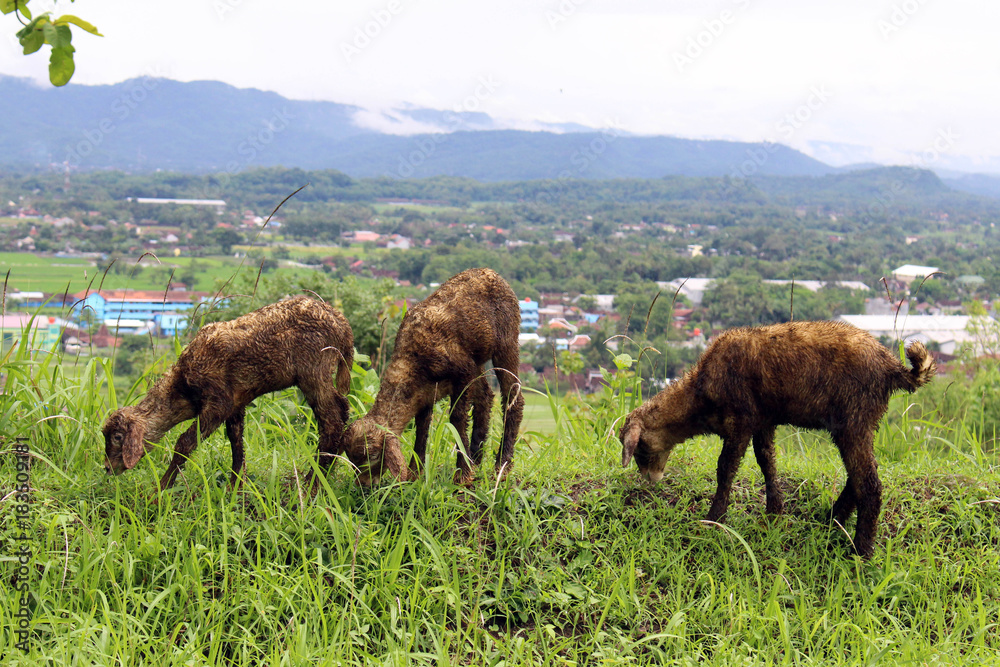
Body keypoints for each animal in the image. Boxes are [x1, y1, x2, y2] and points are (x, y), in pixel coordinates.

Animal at [103, 296, 354, 490]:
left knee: (332, 418)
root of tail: (343, 325)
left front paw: (161, 488)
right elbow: (236, 441)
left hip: (314, 369)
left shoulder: (218, 402)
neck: (181, 389)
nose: (107, 468)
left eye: (118, 437)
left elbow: (184, 443)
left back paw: (314, 482)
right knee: (341, 411)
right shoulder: (236, 403)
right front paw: (235, 486)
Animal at [343, 268, 524, 486]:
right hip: (477, 360)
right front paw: (415, 474)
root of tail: (490, 272)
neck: (409, 360)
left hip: (507, 341)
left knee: (513, 397)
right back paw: (476, 457)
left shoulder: (462, 372)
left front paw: (461, 474)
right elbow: (421, 429)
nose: (362, 485)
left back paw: (502, 464)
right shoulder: (424, 394)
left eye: (372, 457)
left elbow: (457, 419)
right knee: (486, 397)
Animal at [619, 320, 936, 558]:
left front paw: (715, 519)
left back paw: (860, 551)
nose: (650, 479)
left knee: (869, 483)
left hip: (854, 418)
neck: (698, 395)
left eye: (639, 449)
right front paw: (774, 512)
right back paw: (832, 520)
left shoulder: (741, 420)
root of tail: (892, 368)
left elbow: (725, 469)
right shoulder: (763, 420)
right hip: (858, 423)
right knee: (857, 477)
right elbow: (766, 461)